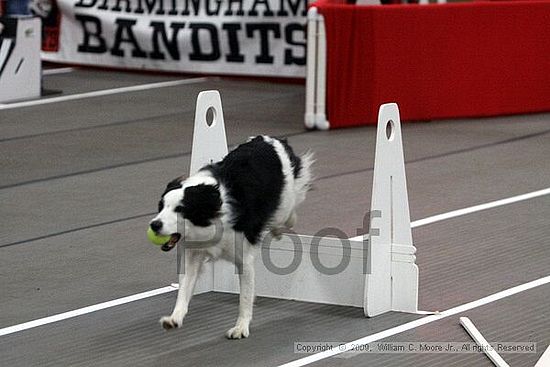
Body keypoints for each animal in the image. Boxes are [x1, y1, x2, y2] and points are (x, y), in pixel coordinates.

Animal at [151, 135, 312, 340]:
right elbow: (184, 288)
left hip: (285, 199)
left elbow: (244, 297)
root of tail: (269, 139)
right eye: (161, 206)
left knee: (288, 213)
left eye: (180, 209)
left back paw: (280, 227)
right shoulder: (194, 254)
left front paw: (241, 327)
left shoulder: (245, 258)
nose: (154, 225)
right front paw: (174, 318)